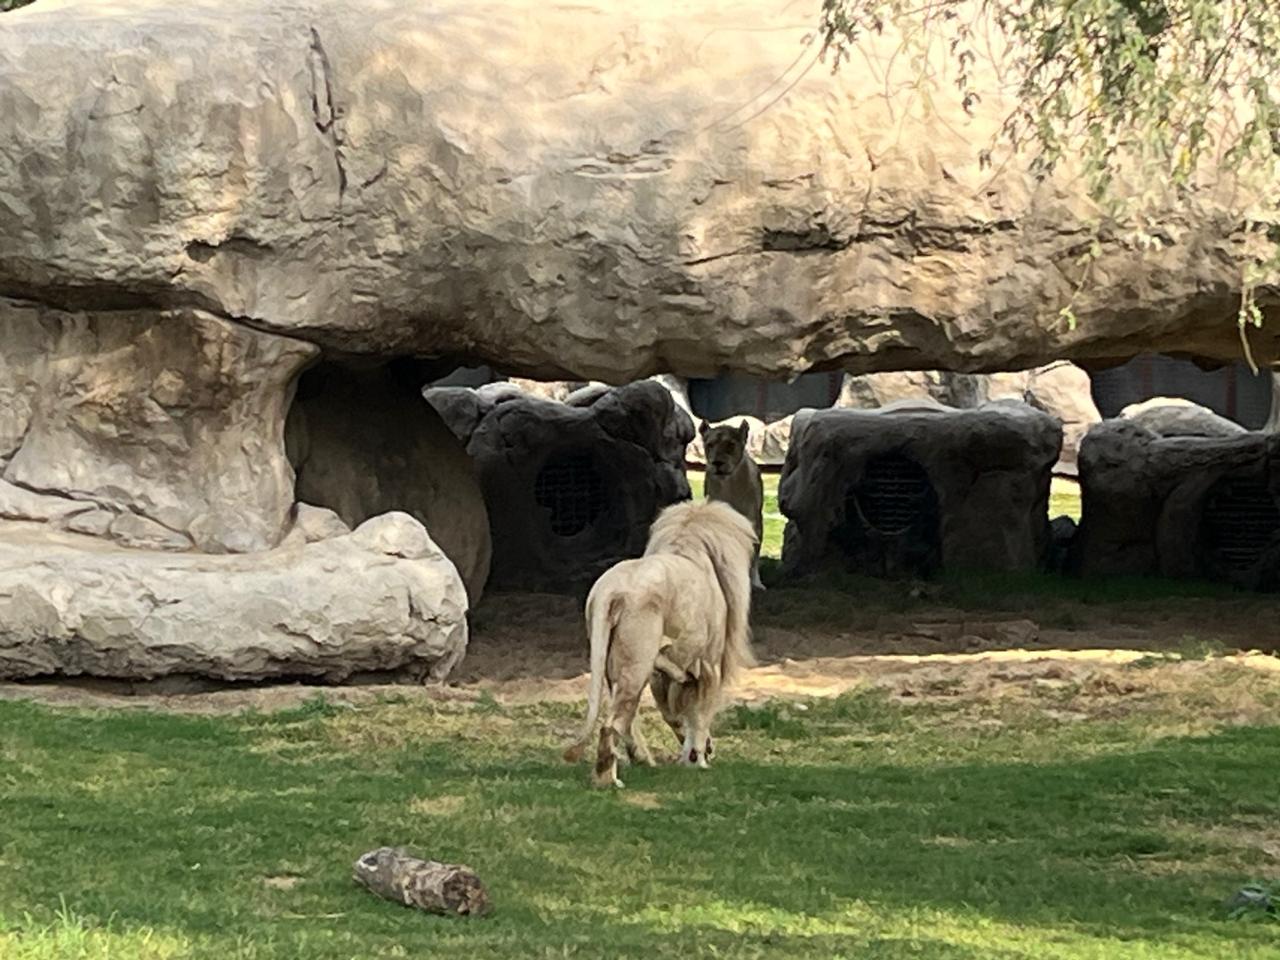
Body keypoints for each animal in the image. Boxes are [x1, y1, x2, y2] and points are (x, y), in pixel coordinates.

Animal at [562, 499, 757, 788]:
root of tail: (612, 590)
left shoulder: (665, 679)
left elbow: (676, 715)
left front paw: (692, 752)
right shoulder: (710, 666)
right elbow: (700, 716)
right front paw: (699, 759)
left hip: (613, 663)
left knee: (625, 718)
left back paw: (637, 759)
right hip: (638, 662)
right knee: (612, 725)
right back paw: (608, 780)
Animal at [700, 419, 765, 591]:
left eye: (730, 445)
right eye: (710, 445)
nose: (717, 463)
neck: (729, 485)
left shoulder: (754, 523)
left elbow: (754, 556)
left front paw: (756, 583)